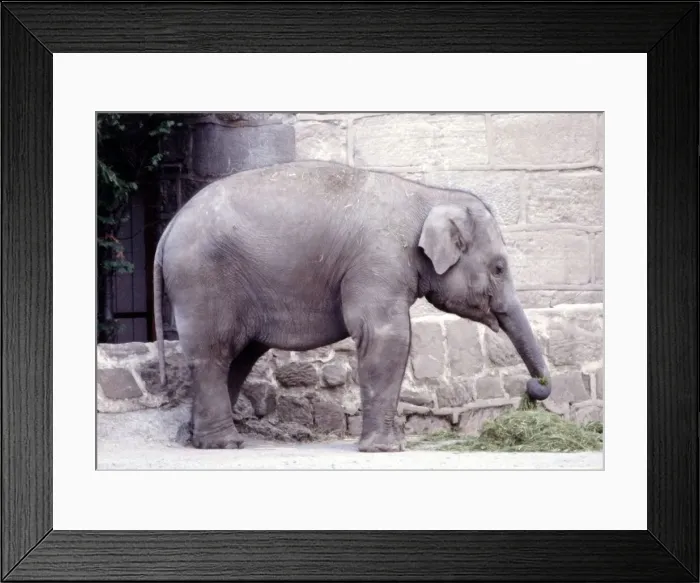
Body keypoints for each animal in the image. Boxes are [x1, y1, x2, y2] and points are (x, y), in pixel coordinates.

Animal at [153, 160, 551, 452]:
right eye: (499, 268)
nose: (535, 388)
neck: (428, 194)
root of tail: (170, 227)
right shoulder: (378, 260)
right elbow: (386, 335)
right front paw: (387, 449)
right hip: (202, 279)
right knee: (214, 352)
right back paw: (223, 443)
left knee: (239, 356)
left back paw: (197, 439)